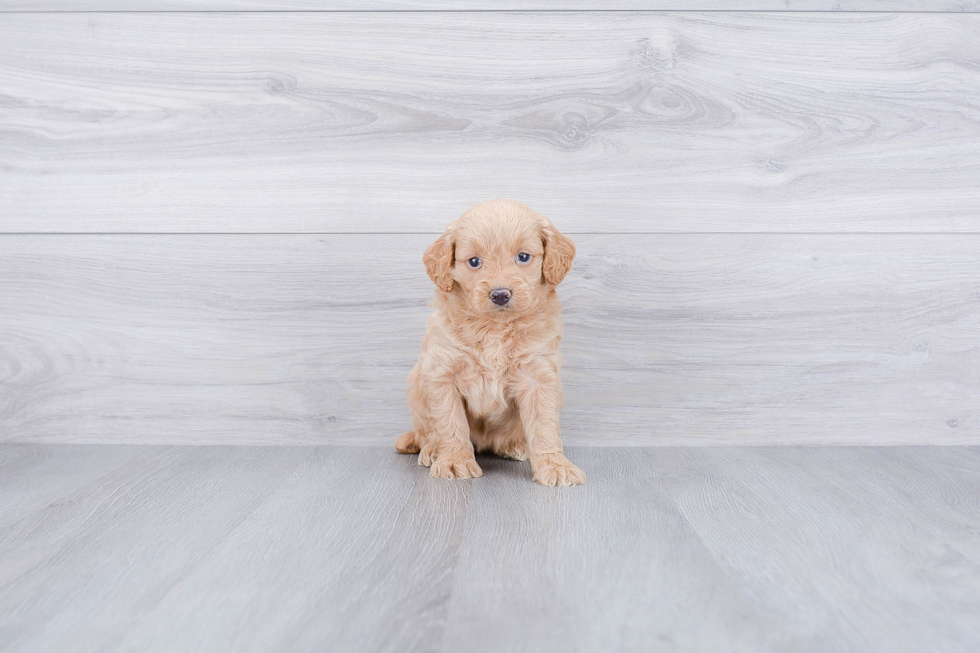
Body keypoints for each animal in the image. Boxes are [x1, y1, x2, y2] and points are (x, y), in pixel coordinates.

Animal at [394, 199, 584, 484]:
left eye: (523, 257)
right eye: (474, 261)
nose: (500, 294)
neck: (495, 327)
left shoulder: (538, 377)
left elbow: (545, 426)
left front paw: (555, 465)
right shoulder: (442, 373)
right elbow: (450, 422)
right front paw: (454, 461)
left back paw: (514, 446)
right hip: (417, 388)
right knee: (425, 432)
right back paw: (432, 450)